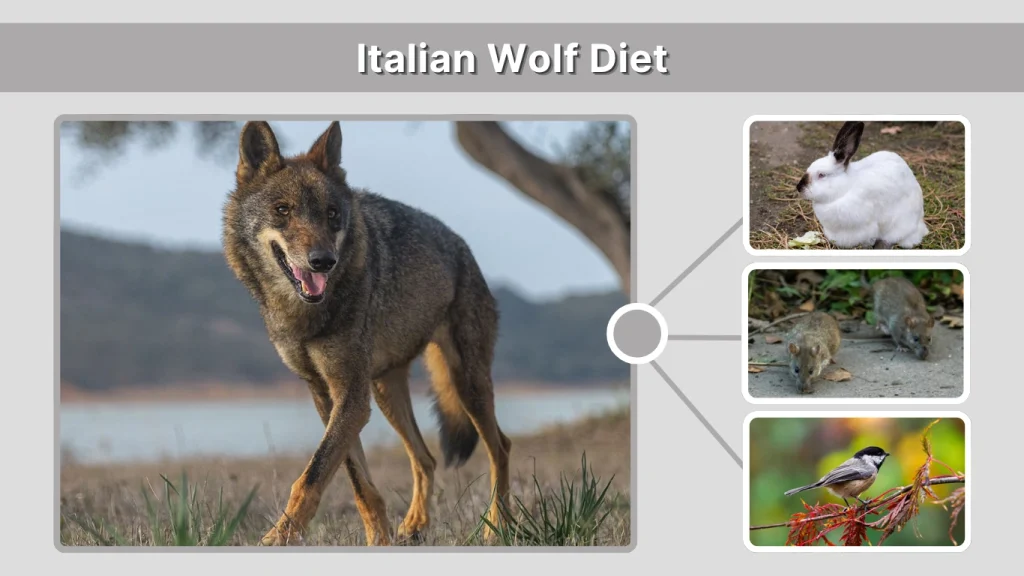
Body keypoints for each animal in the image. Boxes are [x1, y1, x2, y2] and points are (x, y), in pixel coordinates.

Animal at [221, 121, 511, 546]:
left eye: (332, 214)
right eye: (282, 210)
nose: (323, 261)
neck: (305, 316)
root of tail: (461, 245)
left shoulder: (351, 397)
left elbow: (311, 477)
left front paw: (279, 537)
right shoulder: (327, 394)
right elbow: (358, 483)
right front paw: (379, 540)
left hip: (466, 384)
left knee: (500, 448)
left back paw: (496, 527)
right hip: (386, 391)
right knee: (425, 457)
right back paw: (415, 525)